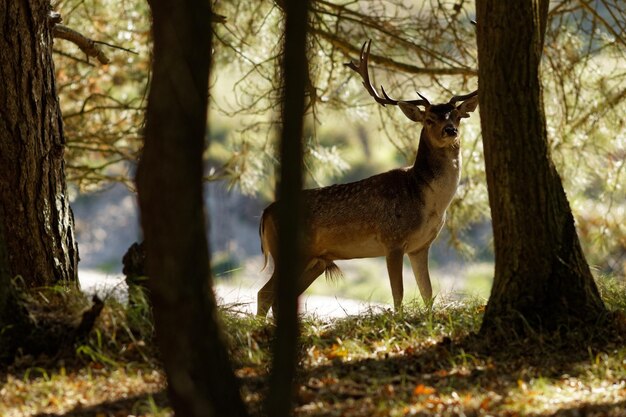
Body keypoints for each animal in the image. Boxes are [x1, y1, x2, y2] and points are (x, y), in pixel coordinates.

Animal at [256, 41, 476, 316]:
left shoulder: (420, 246)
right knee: (264, 293)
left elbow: (428, 294)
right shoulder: (392, 239)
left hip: (316, 261)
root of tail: (266, 212)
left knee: (274, 296)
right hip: (292, 252)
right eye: (429, 119)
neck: (427, 202)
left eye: (456, 115)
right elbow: (398, 295)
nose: (451, 130)